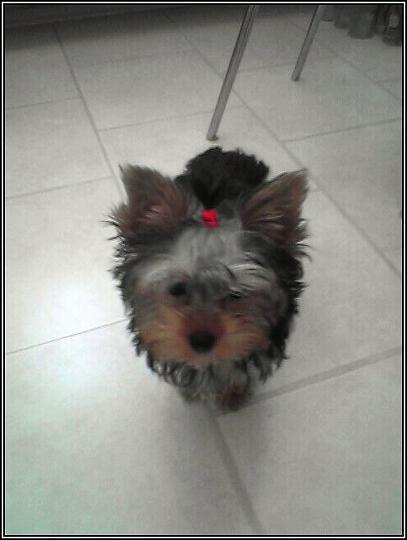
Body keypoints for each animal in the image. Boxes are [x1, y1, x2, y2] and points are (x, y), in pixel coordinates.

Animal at [109, 147, 308, 411]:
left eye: (236, 294)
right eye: (177, 289)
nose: (201, 341)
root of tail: (230, 152)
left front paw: (233, 394)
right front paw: (190, 390)